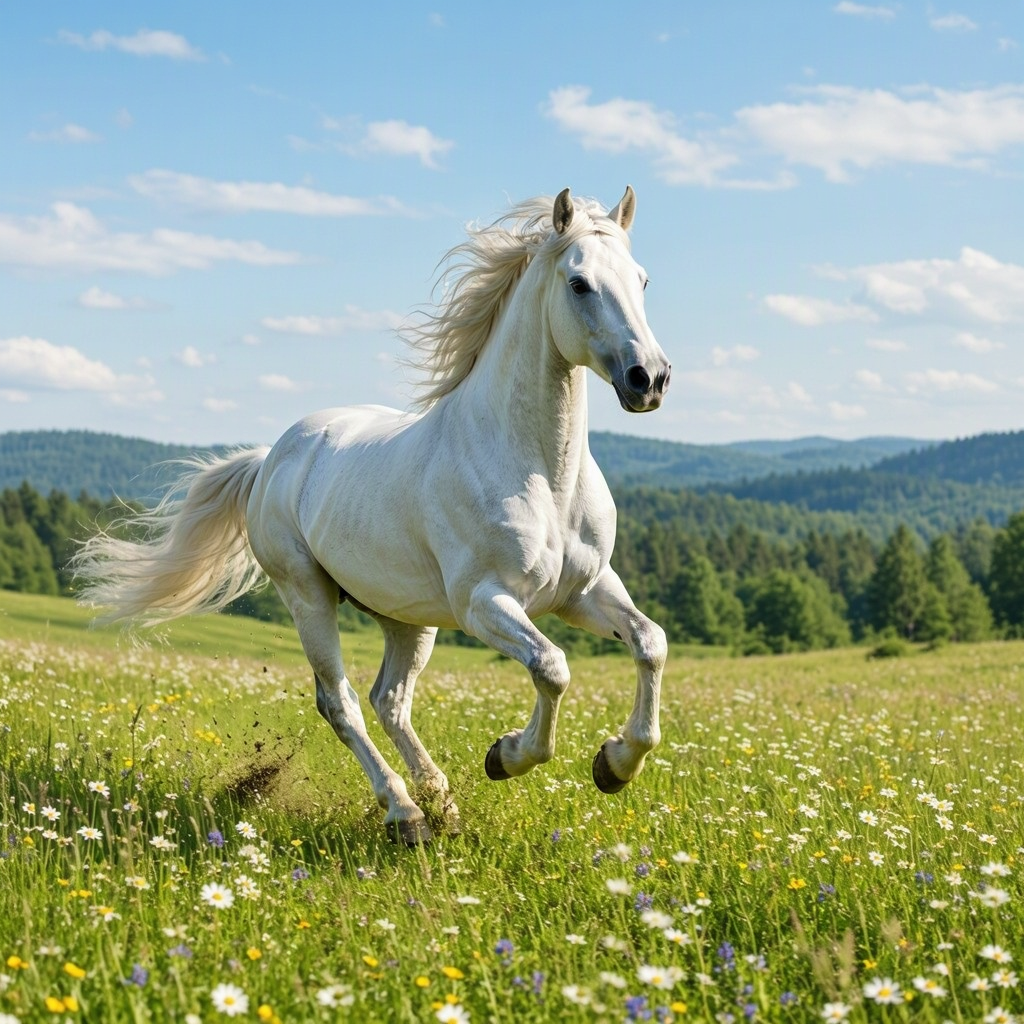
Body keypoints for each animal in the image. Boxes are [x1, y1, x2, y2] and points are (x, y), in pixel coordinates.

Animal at [72, 186, 671, 844]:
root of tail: (271, 457)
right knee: (341, 702)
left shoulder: (583, 591)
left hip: (405, 616)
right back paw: (406, 813)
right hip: (308, 594)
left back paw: (442, 805)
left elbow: (650, 642)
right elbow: (553, 666)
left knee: (390, 700)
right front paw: (507, 755)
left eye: (642, 279)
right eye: (579, 283)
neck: (541, 476)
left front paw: (615, 764)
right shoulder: (484, 602)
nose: (649, 378)